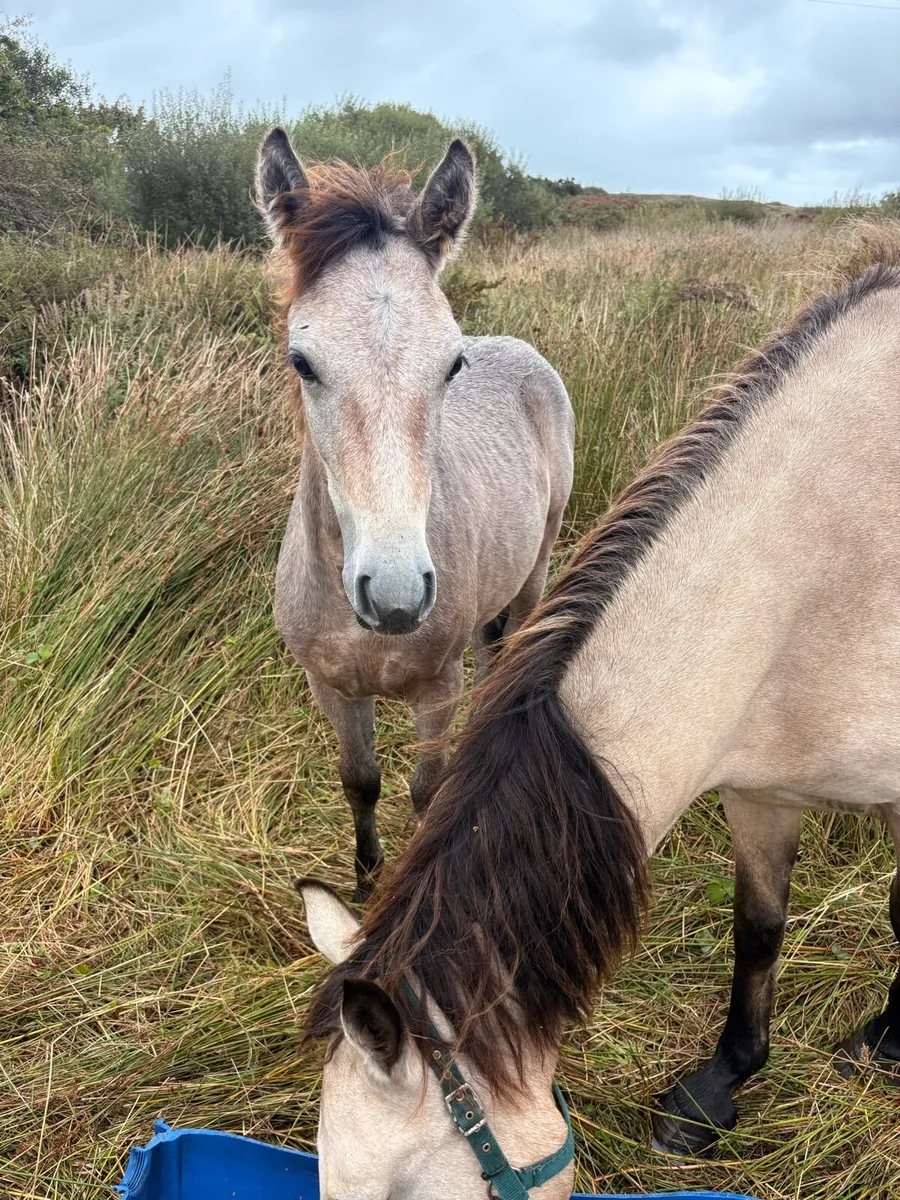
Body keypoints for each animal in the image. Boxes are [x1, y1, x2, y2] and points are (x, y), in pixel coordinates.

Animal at [255, 128, 574, 901]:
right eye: (301, 360)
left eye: (451, 363)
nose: (397, 597)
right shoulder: (333, 688)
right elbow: (360, 781)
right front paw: (367, 879)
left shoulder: (437, 690)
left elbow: (426, 792)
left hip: (536, 569)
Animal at [296, 257, 900, 1197]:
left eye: (406, 1194)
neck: (822, 567)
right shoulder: (762, 792)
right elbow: (758, 931)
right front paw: (719, 1088)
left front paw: (885, 1041)